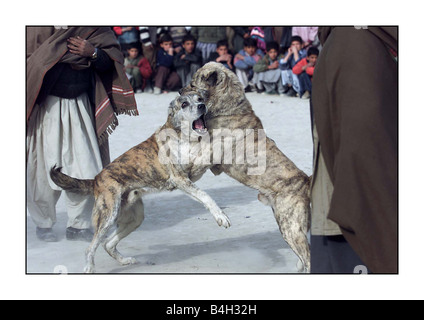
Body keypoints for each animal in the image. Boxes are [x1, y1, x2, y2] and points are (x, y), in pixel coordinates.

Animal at [49, 92, 230, 272]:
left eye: (200, 99)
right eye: (184, 104)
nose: (202, 106)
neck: (183, 136)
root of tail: (96, 180)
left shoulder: (191, 176)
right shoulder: (181, 179)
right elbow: (205, 196)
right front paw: (221, 217)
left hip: (134, 219)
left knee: (108, 244)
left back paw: (124, 261)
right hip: (108, 216)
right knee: (91, 247)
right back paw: (89, 268)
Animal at [180, 62, 312, 272]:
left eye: (193, 84)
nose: (179, 91)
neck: (228, 107)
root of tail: (306, 181)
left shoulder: (208, 156)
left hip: (290, 227)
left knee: (307, 257)